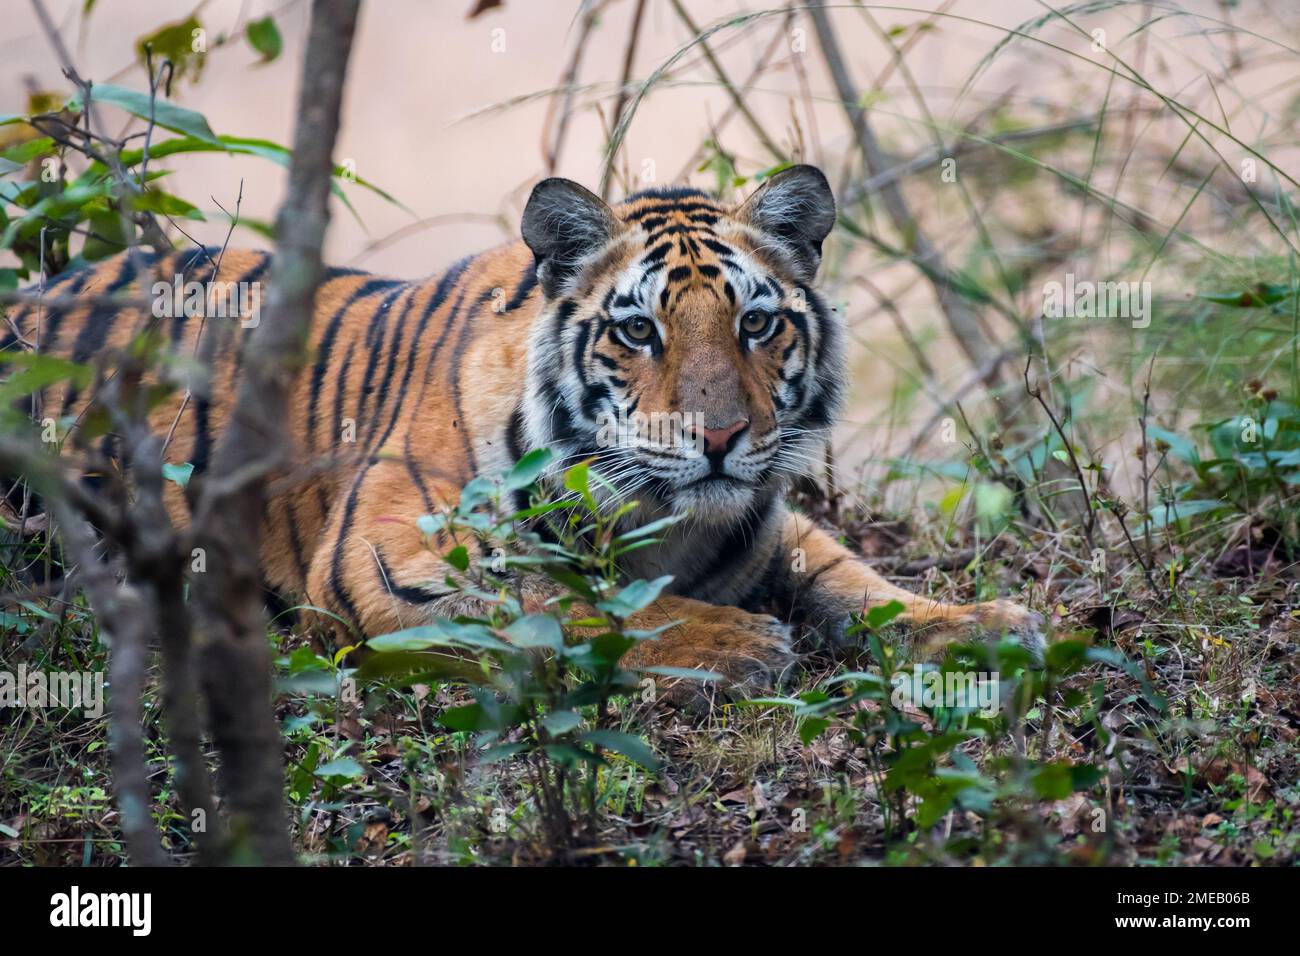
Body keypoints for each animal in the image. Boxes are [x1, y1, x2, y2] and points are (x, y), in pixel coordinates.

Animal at [0, 164, 1034, 697]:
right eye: (638, 331)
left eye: (755, 323)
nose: (721, 439)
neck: (666, 519)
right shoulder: (386, 555)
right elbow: (560, 605)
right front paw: (735, 645)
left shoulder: (774, 527)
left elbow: (855, 582)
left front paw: (980, 624)